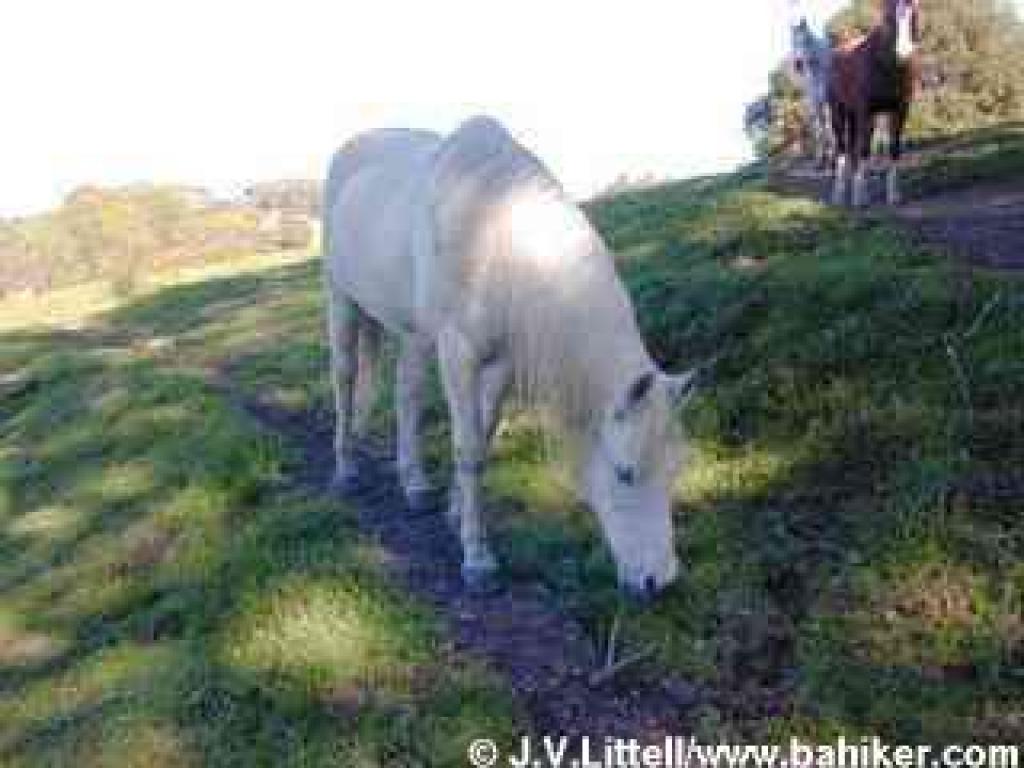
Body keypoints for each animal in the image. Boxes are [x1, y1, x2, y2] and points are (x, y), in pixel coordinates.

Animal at [322, 116, 698, 599]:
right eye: (625, 473)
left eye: (675, 470)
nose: (660, 582)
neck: (496, 236)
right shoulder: (459, 353)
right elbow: (467, 450)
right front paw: (477, 560)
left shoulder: (498, 366)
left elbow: (482, 440)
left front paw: (455, 515)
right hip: (341, 301)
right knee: (346, 379)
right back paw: (345, 469)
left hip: (412, 334)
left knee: (407, 396)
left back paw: (414, 485)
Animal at [789, 15, 834, 169]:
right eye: (792, 42)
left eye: (806, 40)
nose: (798, 64)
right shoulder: (814, 102)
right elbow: (818, 128)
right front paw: (821, 159)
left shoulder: (825, 98)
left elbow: (829, 124)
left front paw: (833, 155)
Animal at [828, 0, 920, 207]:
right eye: (888, 16)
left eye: (915, 13)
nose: (903, 52)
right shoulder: (865, 111)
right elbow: (864, 149)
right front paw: (860, 199)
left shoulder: (899, 110)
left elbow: (894, 148)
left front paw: (893, 196)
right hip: (839, 112)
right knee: (842, 149)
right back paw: (839, 195)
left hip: (858, 116)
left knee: (853, 148)